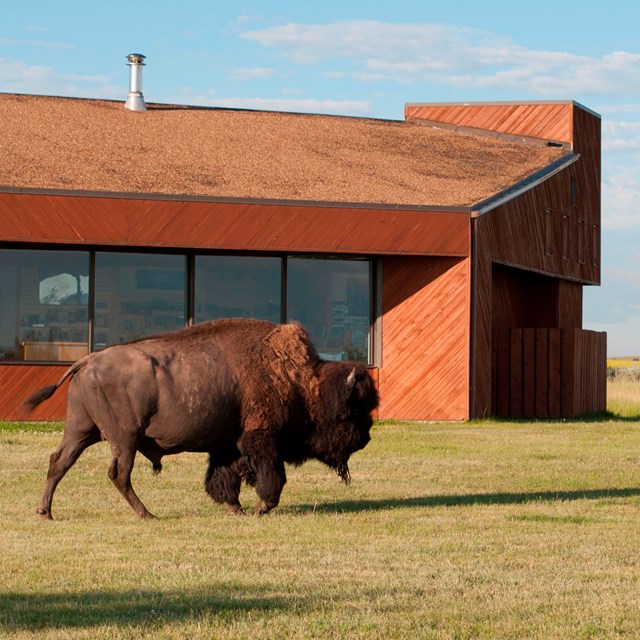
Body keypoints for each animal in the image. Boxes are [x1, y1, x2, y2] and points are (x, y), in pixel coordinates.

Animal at [22, 318, 378, 520]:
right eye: (353, 410)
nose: (366, 438)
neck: (301, 381)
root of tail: (86, 361)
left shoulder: (227, 446)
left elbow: (224, 478)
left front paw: (236, 509)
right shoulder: (261, 440)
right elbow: (271, 477)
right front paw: (261, 508)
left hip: (81, 431)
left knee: (59, 462)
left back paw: (45, 512)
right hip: (125, 438)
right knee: (118, 474)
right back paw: (147, 515)